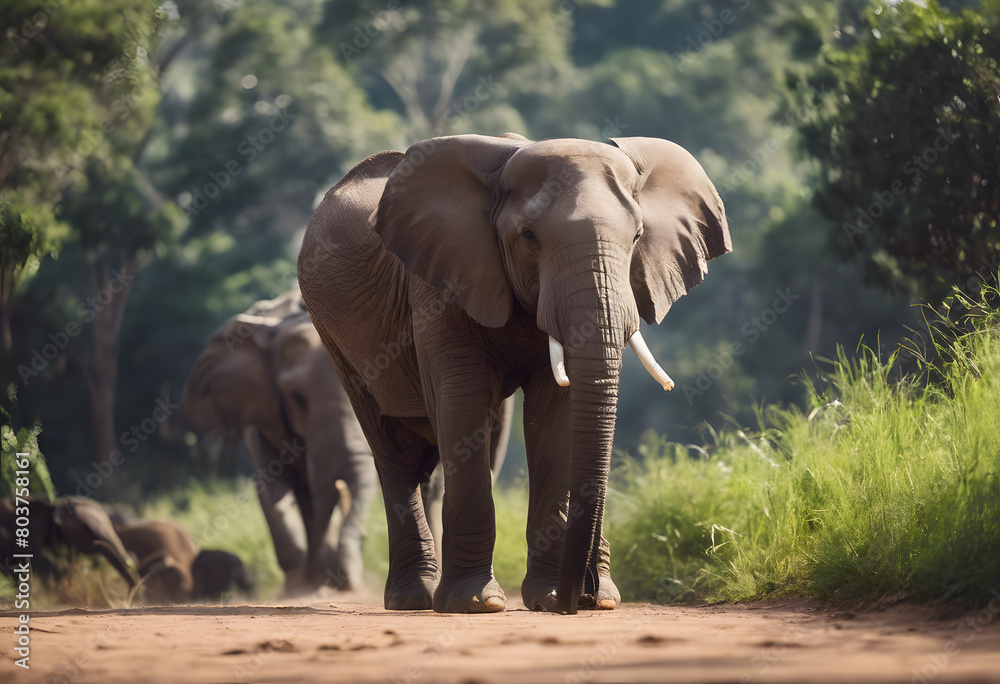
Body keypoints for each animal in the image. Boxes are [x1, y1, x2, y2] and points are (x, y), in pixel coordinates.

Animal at [297, 134, 730, 614]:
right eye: (528, 237)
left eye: (637, 236)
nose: (579, 598)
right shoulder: (440, 281)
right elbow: (461, 399)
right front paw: (476, 603)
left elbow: (556, 414)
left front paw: (548, 597)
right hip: (332, 337)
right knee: (393, 450)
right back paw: (414, 599)